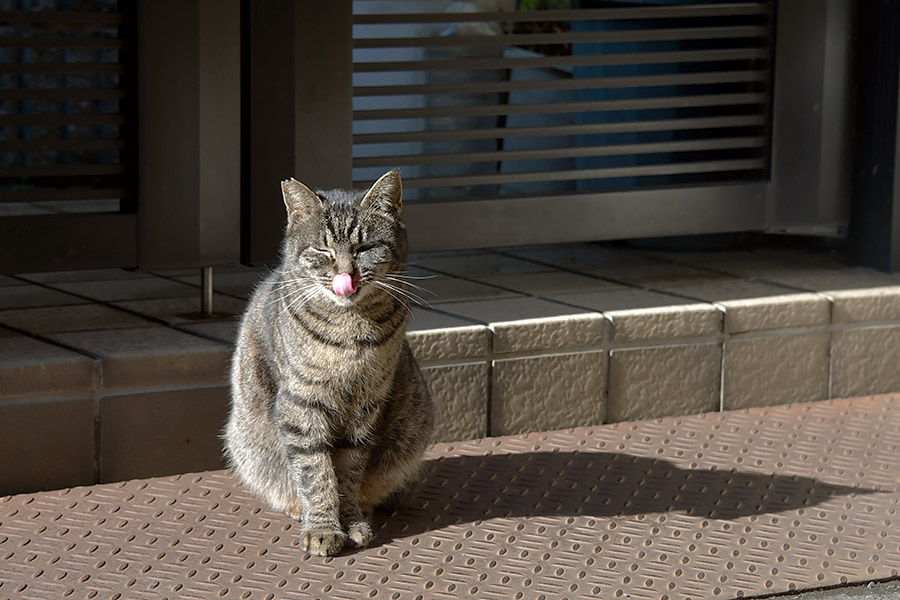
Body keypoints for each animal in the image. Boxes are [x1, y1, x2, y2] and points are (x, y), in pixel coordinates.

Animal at [225, 171, 436, 556]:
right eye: (323, 251)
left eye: (364, 248)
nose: (345, 274)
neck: (349, 331)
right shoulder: (301, 405)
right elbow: (316, 472)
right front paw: (323, 527)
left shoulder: (365, 406)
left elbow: (348, 473)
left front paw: (349, 520)